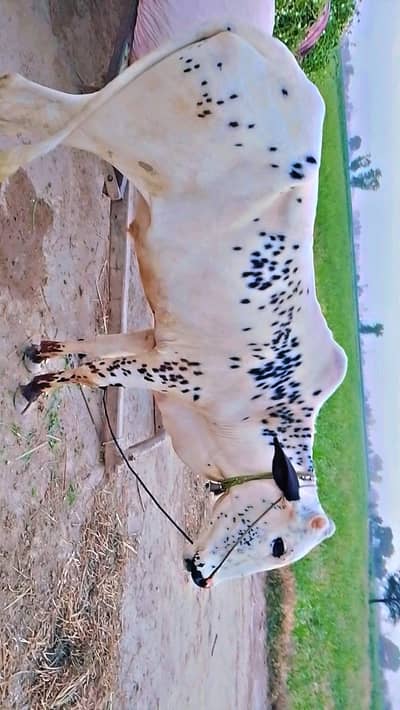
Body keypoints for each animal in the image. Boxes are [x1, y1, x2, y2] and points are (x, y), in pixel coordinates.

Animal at [0, 24, 347, 586]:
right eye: (277, 545)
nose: (201, 576)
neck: (259, 416)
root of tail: (261, 47)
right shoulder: (176, 370)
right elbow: (99, 372)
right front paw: (35, 388)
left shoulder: (154, 340)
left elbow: (94, 347)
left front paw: (42, 353)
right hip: (113, 129)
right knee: (37, 116)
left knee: (23, 95)